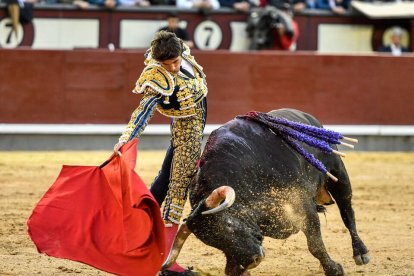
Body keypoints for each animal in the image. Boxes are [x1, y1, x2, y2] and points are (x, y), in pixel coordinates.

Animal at [163, 108, 370, 276]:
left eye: (228, 225)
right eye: (213, 242)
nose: (252, 260)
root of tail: (308, 117)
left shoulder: (302, 205)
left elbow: (315, 245)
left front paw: (334, 269)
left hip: (338, 174)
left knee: (347, 213)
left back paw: (361, 253)